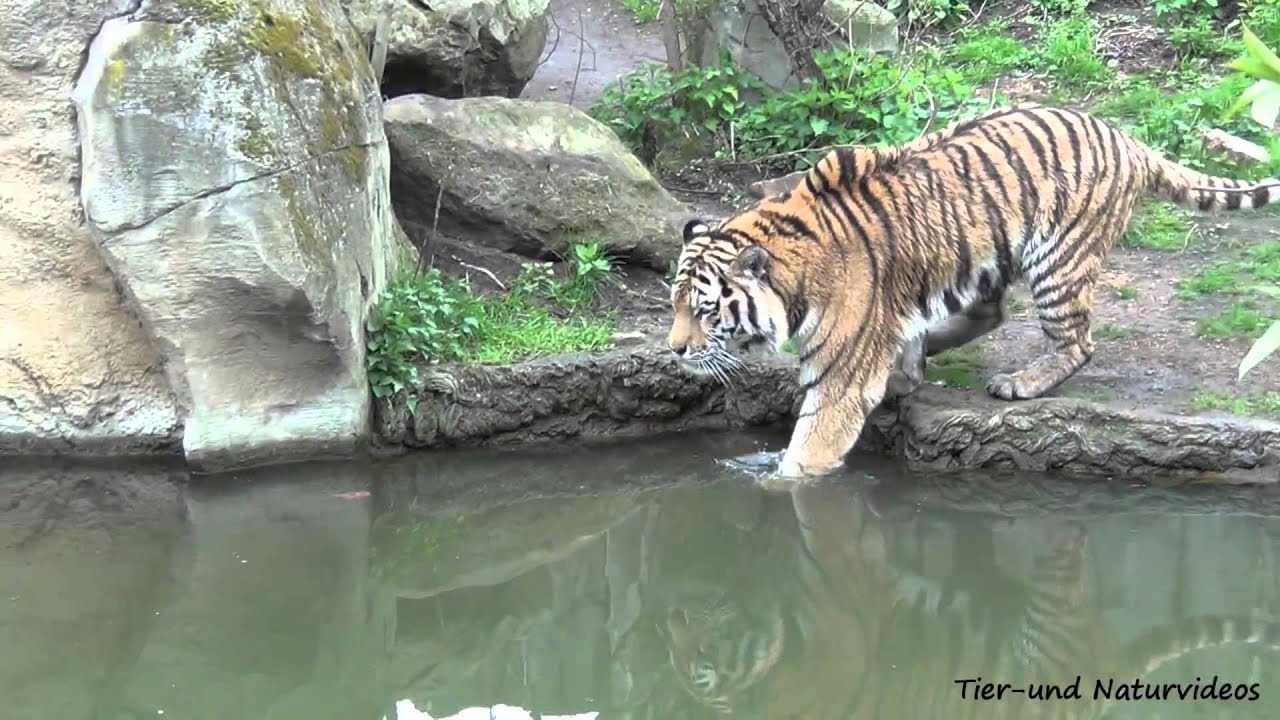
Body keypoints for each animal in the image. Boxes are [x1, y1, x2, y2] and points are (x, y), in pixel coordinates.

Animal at [665, 103, 1280, 480]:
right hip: (979, 260)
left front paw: (781, 484)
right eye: (673, 306)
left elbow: (809, 452)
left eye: (705, 309)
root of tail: (1126, 138)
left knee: (1077, 342)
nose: (675, 350)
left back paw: (1020, 383)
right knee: (988, 312)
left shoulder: (839, 378)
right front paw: (906, 366)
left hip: (1057, 263)